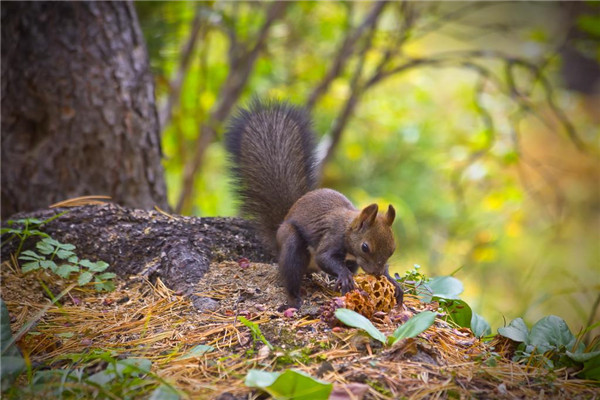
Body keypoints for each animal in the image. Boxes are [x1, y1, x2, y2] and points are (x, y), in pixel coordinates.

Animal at [225, 98, 404, 308]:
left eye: (393, 249)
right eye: (365, 247)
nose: (376, 273)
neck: (347, 228)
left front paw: (391, 280)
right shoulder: (332, 236)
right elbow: (324, 257)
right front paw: (344, 276)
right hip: (292, 244)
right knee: (291, 273)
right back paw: (294, 299)